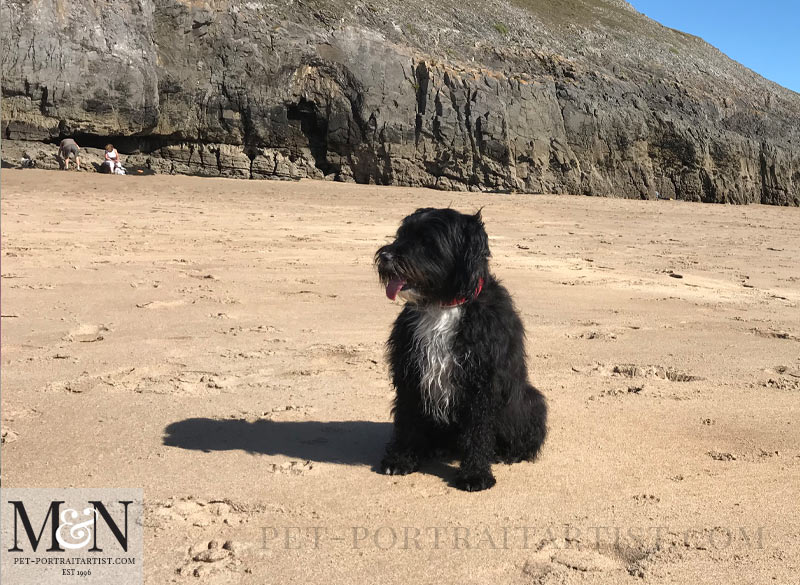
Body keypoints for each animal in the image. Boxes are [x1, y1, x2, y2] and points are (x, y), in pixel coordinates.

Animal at [378, 208, 548, 490]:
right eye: (401, 234)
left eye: (427, 240)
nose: (385, 256)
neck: (442, 305)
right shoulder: (410, 373)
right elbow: (406, 419)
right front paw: (400, 459)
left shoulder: (482, 383)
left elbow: (478, 431)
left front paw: (475, 474)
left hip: (530, 401)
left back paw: (506, 454)